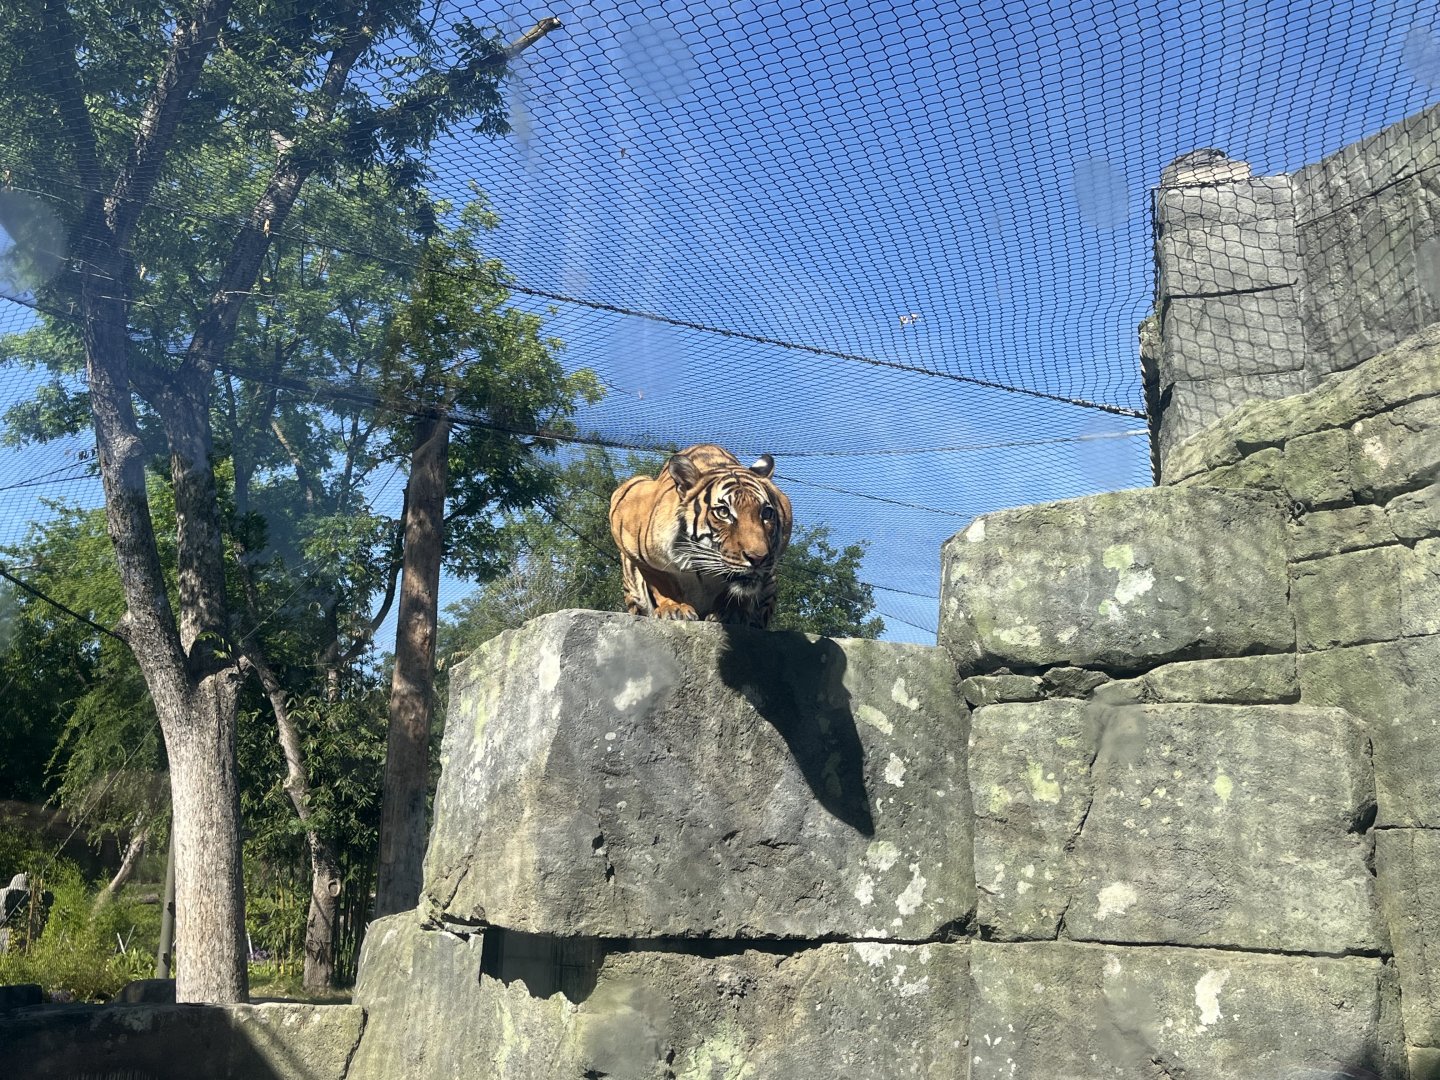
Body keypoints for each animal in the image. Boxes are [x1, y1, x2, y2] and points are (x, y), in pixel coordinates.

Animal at [608, 444, 794, 629]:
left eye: (766, 513)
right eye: (723, 512)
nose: (758, 558)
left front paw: (732, 613)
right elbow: (660, 582)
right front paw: (674, 608)